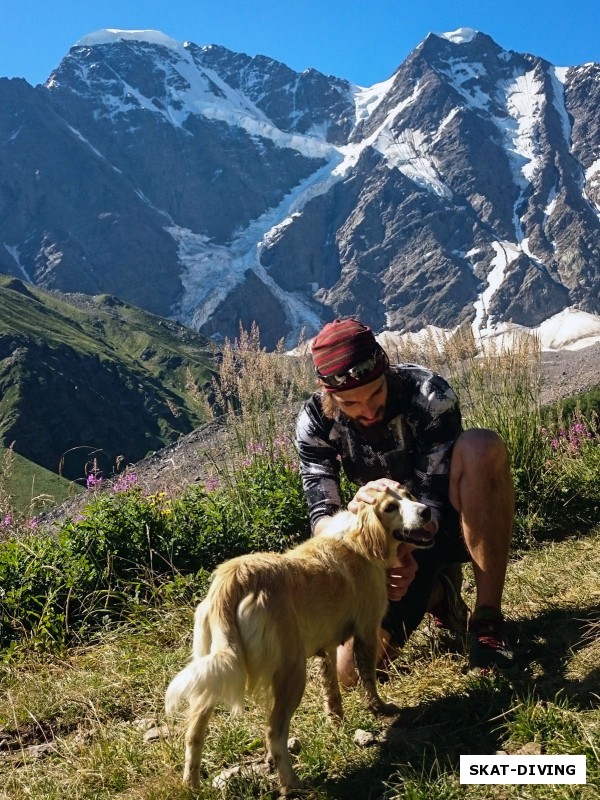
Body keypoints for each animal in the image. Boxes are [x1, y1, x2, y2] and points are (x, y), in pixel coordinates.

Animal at [165, 488, 432, 792]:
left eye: (408, 495)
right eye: (389, 508)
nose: (426, 511)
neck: (360, 537)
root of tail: (233, 579)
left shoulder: (325, 649)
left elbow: (332, 693)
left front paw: (337, 724)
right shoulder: (367, 631)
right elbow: (369, 681)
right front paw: (380, 709)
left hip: (211, 675)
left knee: (194, 733)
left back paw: (192, 784)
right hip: (291, 673)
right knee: (274, 731)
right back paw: (291, 784)